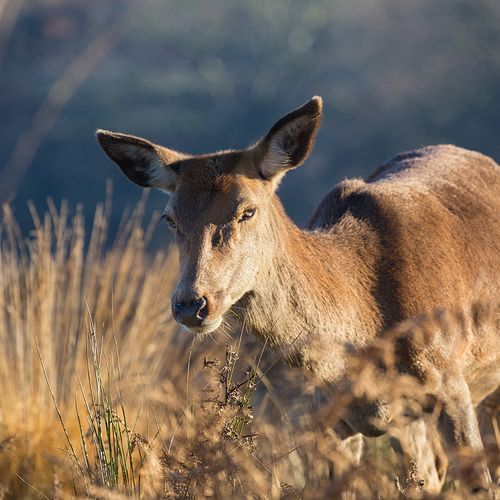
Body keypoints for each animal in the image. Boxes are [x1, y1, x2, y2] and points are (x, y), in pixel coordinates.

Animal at [96, 95, 500, 494]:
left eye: (247, 211)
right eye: (170, 218)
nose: (191, 305)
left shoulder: (451, 384)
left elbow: (480, 484)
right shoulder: (329, 415)